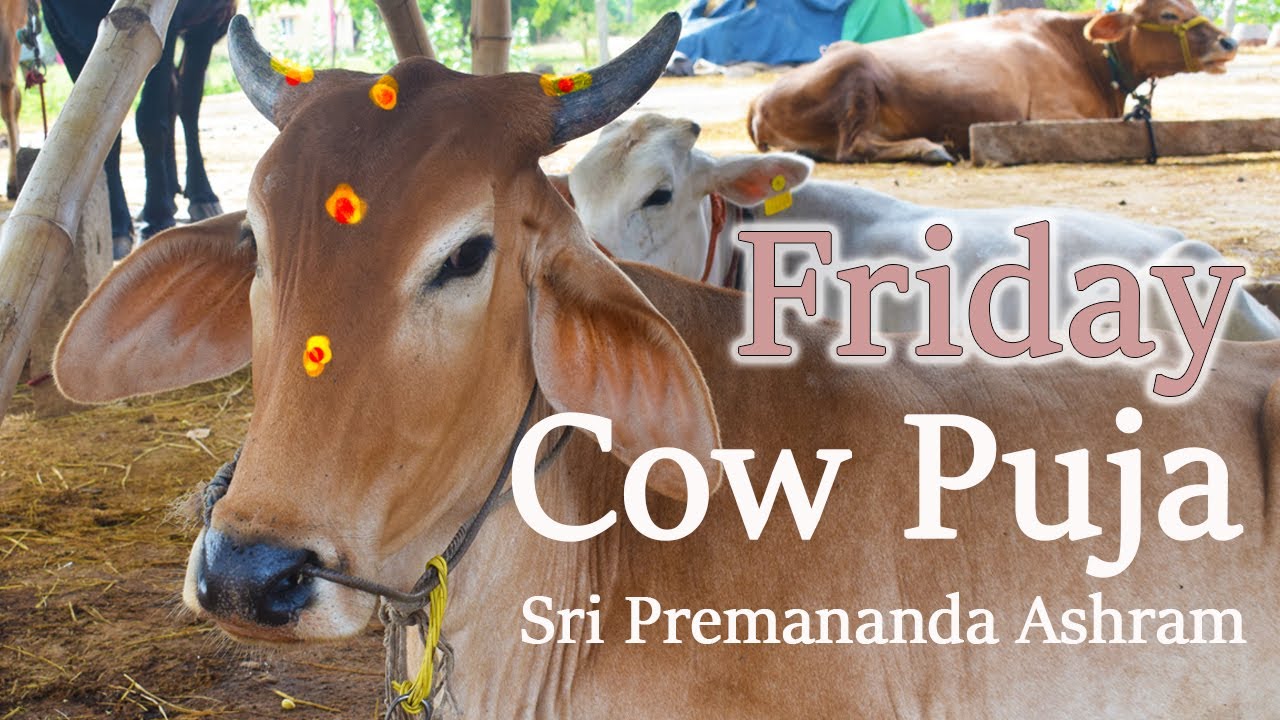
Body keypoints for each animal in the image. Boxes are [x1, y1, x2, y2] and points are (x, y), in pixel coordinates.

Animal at [43, 0, 234, 258]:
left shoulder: (163, 29)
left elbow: (150, 121)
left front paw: (158, 216)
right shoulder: (58, 26)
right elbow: (104, 128)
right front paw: (117, 226)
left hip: (208, 22)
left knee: (188, 99)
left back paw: (201, 195)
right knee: (174, 94)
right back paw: (171, 189)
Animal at [747, 0, 1239, 163]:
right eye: (1168, 14)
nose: (1229, 41)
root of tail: (757, 101)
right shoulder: (1050, 113)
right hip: (857, 73)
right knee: (852, 147)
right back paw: (930, 148)